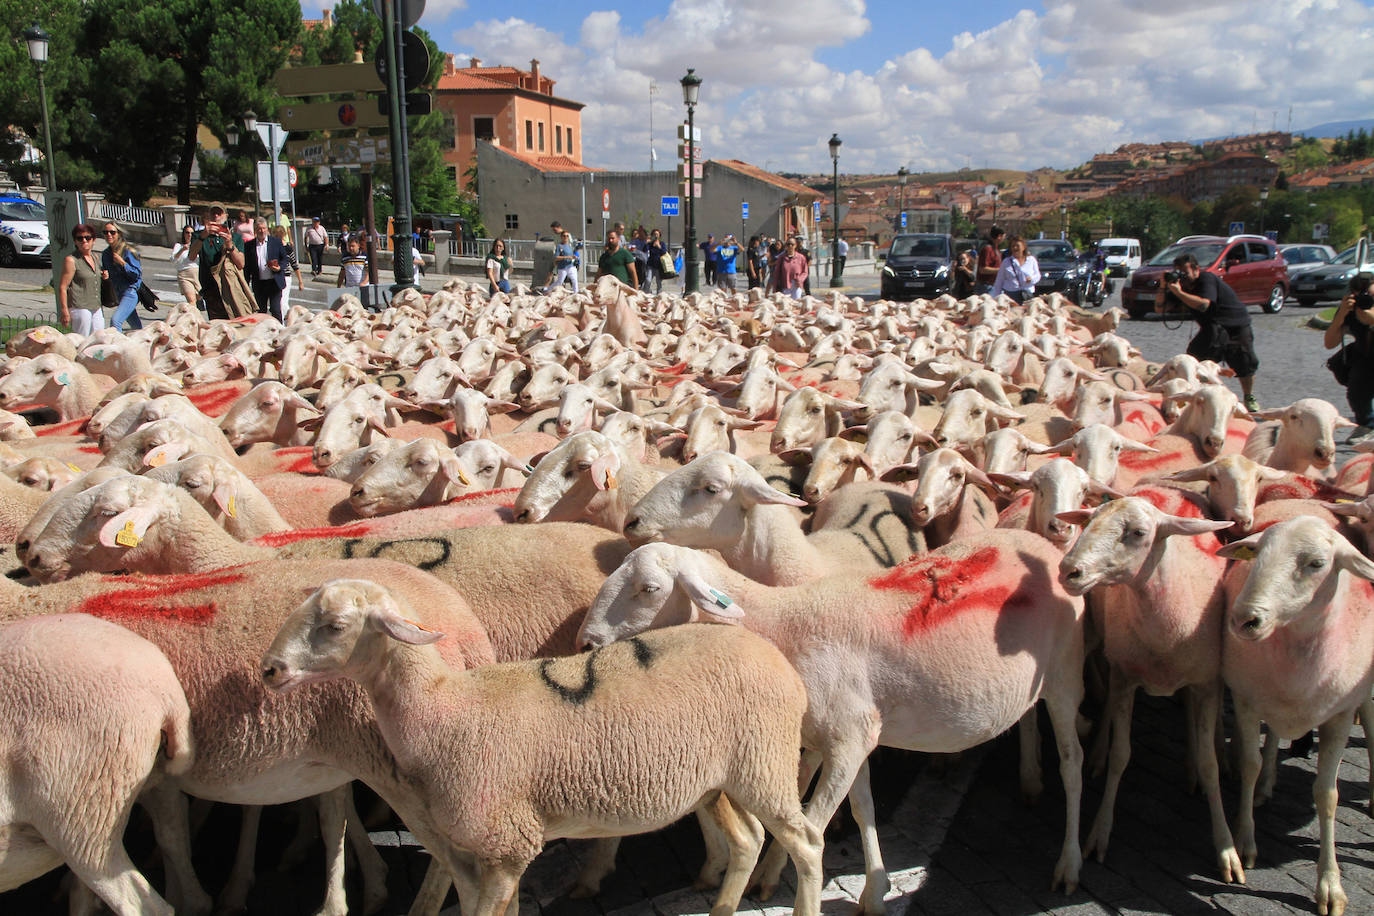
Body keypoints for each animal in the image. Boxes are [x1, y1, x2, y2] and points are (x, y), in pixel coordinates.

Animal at [262, 579, 824, 916]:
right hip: (721, 781)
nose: (269, 670)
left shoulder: (508, 844)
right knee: (749, 839)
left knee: (807, 842)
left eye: (335, 627)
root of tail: (776, 660)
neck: (444, 708)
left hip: (765, 764)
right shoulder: (491, 852)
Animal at [576, 532, 1088, 910]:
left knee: (1073, 764)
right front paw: (874, 892)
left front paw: (778, 882)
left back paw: (1069, 865)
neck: (779, 625)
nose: (585, 643)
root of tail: (1045, 545)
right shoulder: (849, 738)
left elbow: (815, 827)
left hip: (1066, 675)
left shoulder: (848, 739)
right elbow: (862, 810)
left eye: (649, 589)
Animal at [1218, 517, 1374, 916]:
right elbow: (1250, 764)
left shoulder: (1340, 715)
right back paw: (1267, 783)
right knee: (1274, 735)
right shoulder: (1247, 699)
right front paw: (1245, 839)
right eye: (1256, 553)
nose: (1244, 619)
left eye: (1317, 564)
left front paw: (1330, 885)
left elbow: (1327, 794)